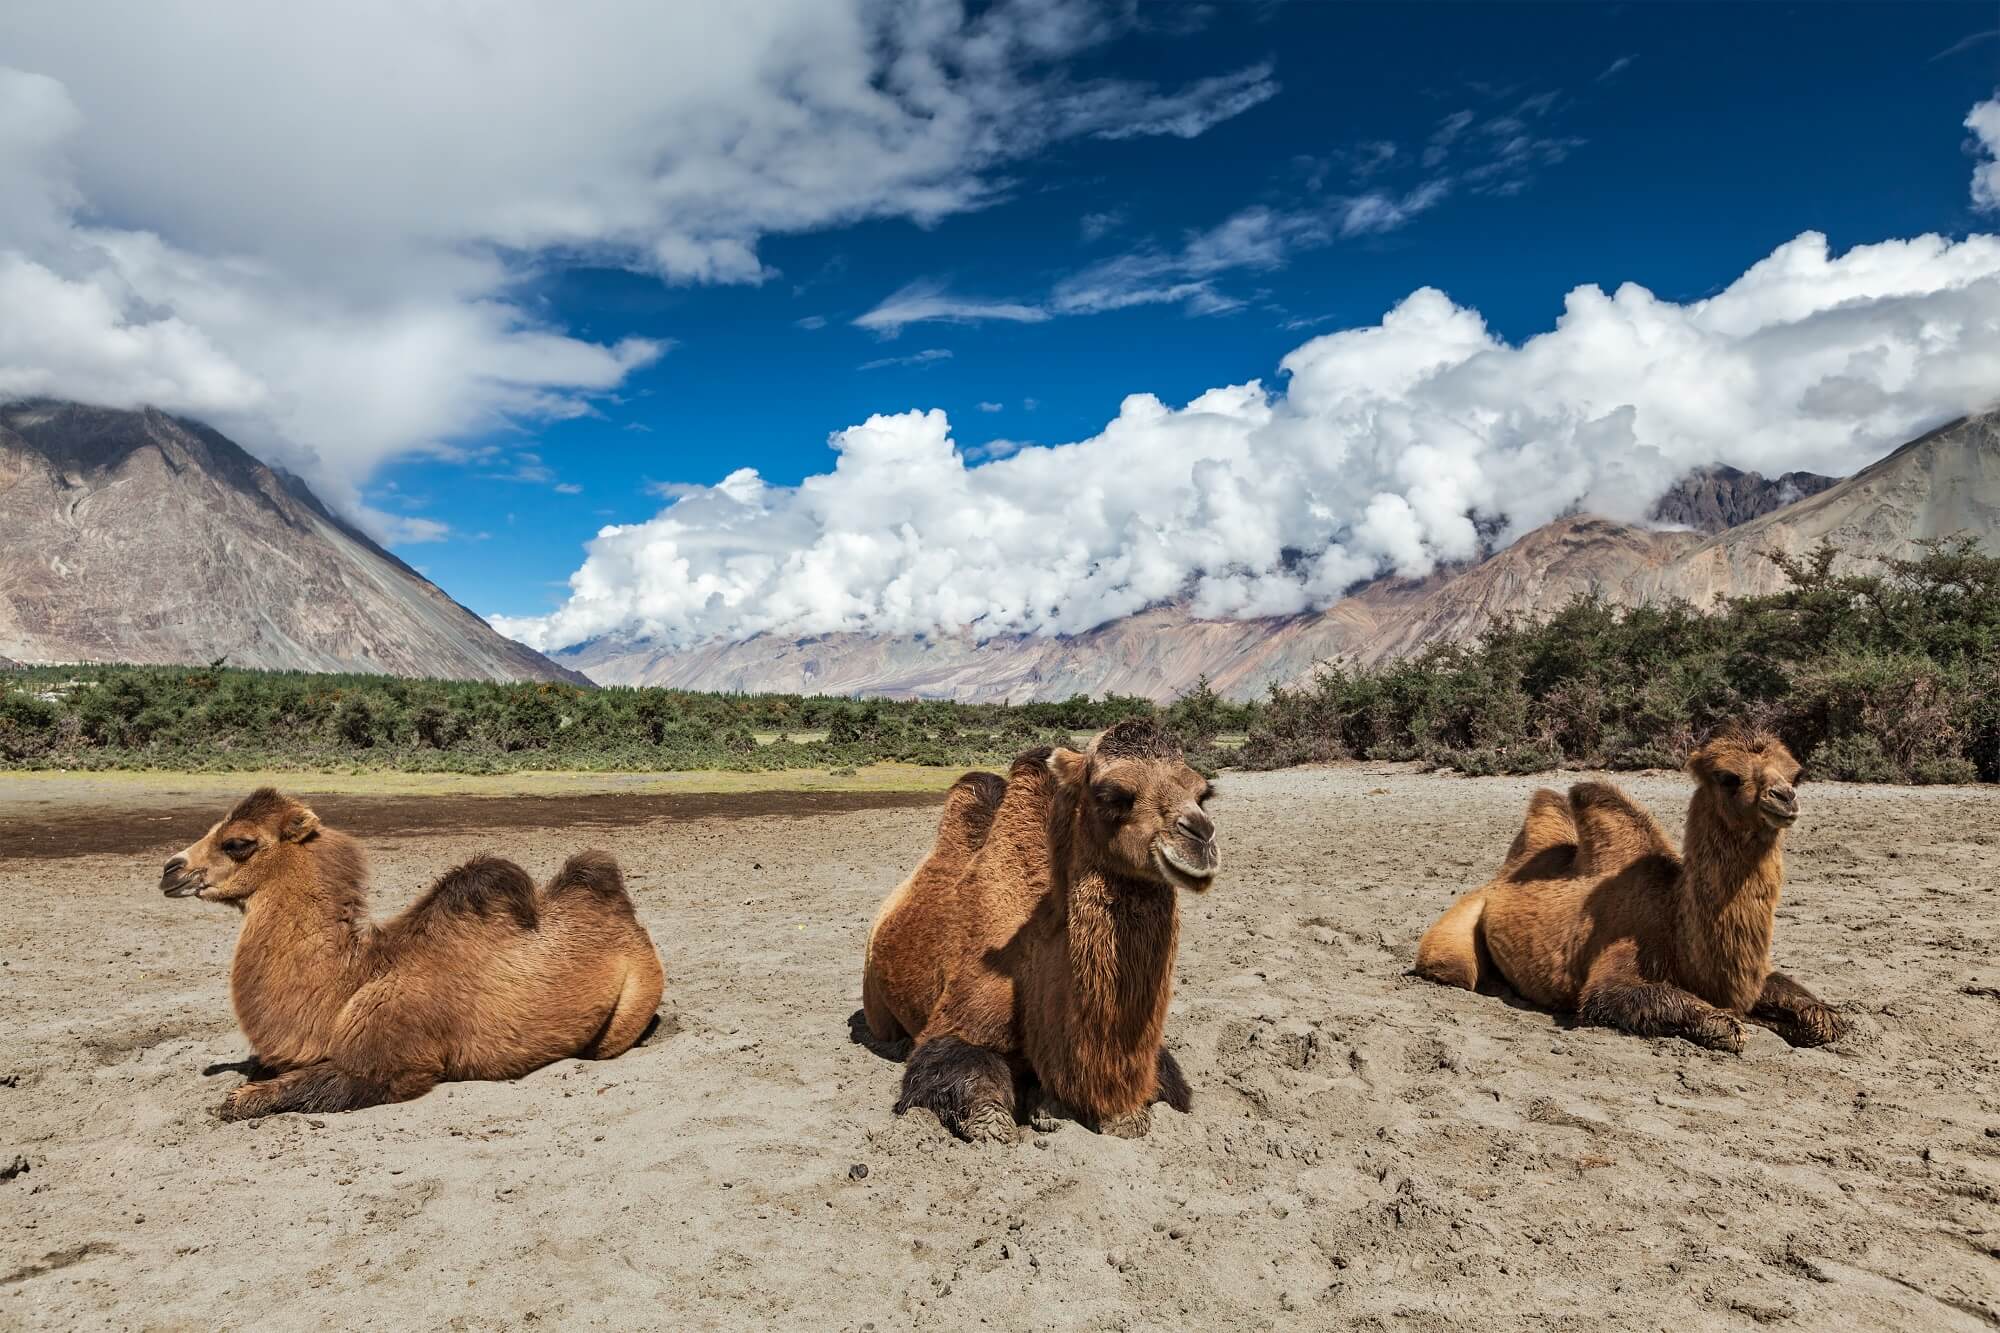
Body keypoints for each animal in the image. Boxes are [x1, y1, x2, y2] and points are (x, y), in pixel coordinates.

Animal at [158, 784, 664, 1112]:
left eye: (238, 842)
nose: (170, 870)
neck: (345, 990)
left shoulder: (394, 1064)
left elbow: (275, 1093)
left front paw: (238, 1096)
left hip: (634, 1000)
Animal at [860, 720, 1216, 1136]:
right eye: (1112, 795)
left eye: (1203, 794)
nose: (1201, 839)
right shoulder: (957, 1023)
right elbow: (985, 1115)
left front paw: (1052, 1107)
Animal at [1408, 716, 1840, 1048]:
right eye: (1728, 777)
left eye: (1796, 774)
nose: (1785, 797)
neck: (1673, 917)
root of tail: (1498, 879)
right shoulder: (1615, 970)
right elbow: (1706, 1018)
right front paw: (1732, 1025)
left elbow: (1824, 1018)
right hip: (1454, 940)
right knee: (1458, 969)